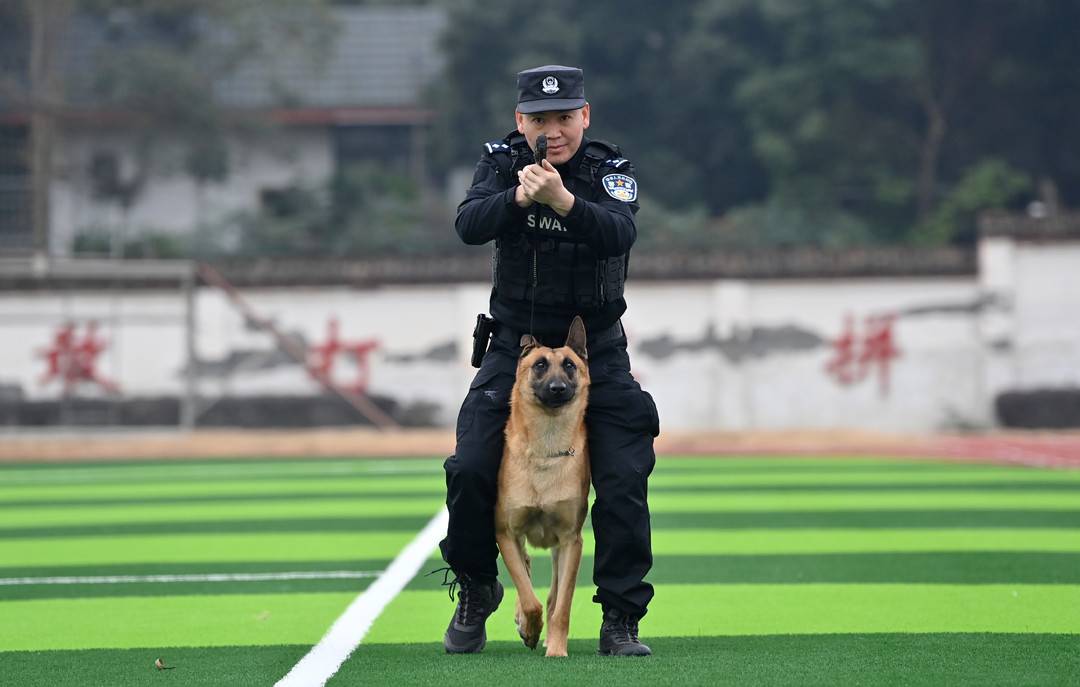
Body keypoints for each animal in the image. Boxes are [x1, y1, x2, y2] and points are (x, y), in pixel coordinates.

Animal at [494, 313, 591, 656]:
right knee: (527, 577)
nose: (557, 388)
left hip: (559, 552)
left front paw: (556, 648)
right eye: (539, 365)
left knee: (551, 595)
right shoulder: (507, 535)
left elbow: (560, 606)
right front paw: (529, 628)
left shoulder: (571, 542)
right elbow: (528, 598)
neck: (546, 450)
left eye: (570, 365)